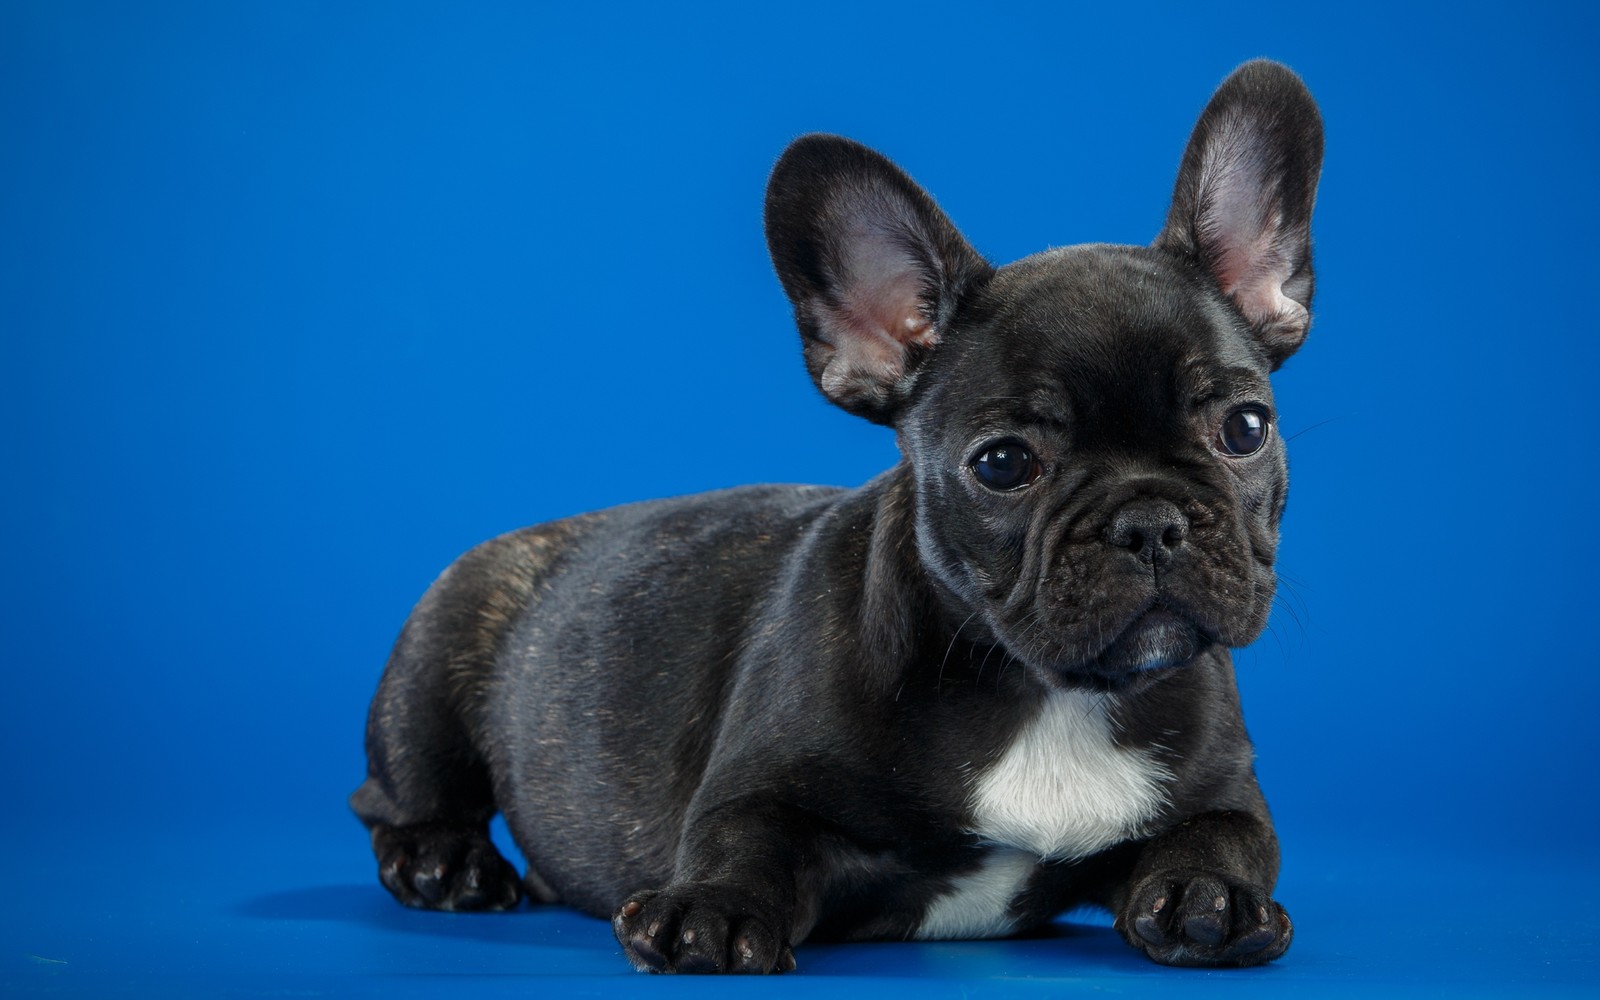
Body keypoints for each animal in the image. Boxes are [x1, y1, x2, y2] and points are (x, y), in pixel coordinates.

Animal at [353, 58, 1324, 972]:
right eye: (1004, 464)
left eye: (1245, 429)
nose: (1150, 521)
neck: (1046, 692)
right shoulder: (757, 789)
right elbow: (741, 840)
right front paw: (709, 911)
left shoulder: (1223, 791)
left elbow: (1228, 836)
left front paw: (1207, 893)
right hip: (438, 651)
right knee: (397, 797)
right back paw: (444, 861)